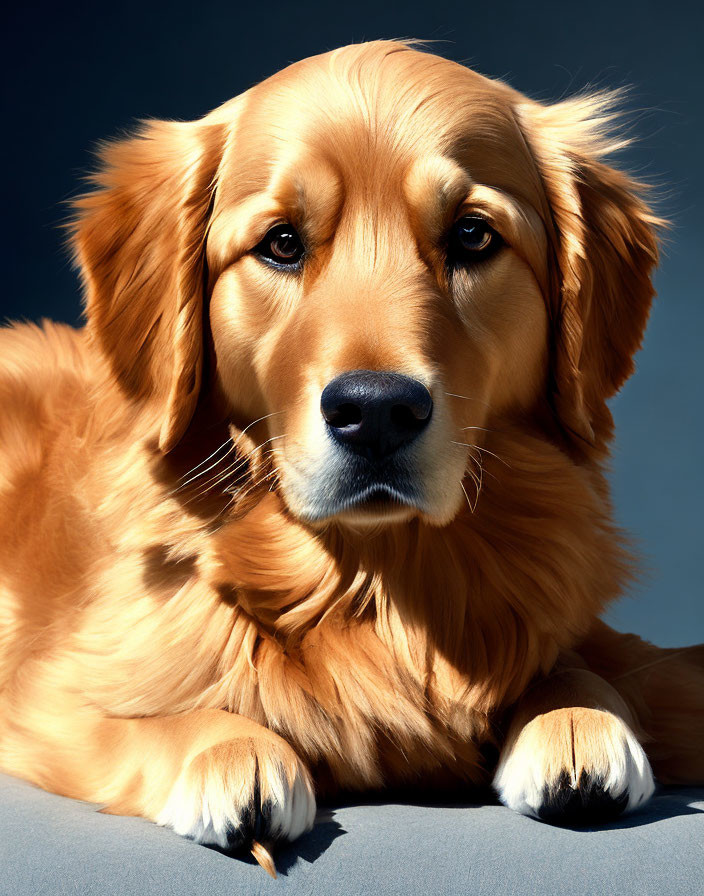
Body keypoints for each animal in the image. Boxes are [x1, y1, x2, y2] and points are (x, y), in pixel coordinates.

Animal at [1, 40, 704, 868]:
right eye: (281, 243)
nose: (375, 413)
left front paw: (576, 715)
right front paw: (227, 749)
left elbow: (595, 663)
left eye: (473, 236)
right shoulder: (48, 694)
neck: (379, 583)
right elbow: (138, 716)